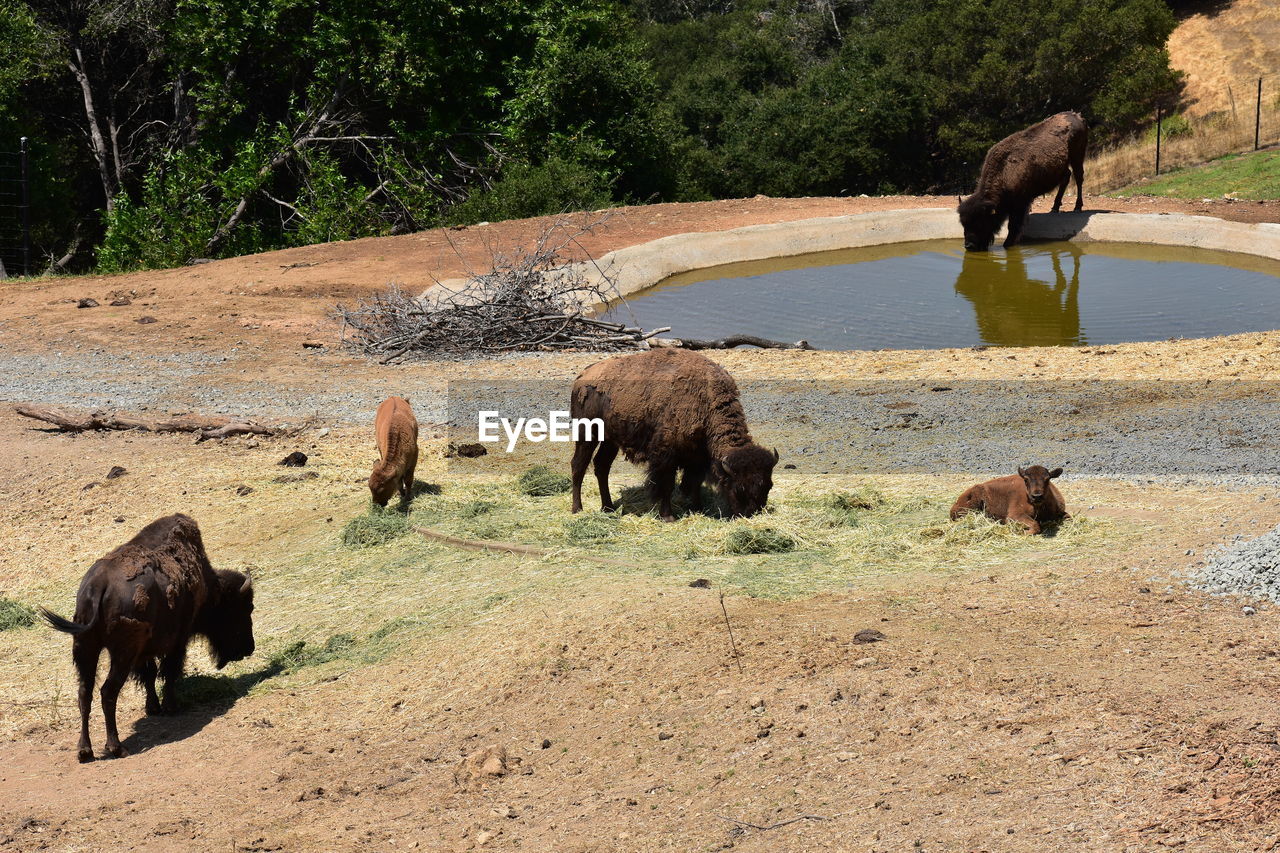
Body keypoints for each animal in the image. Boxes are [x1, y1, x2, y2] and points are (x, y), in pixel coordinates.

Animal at [40, 512, 256, 758]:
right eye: (244, 608)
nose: (249, 647)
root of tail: (98, 586)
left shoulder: (144, 652)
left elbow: (150, 674)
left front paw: (153, 707)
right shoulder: (178, 640)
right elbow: (169, 671)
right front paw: (171, 707)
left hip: (85, 649)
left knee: (85, 693)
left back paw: (85, 751)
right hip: (120, 654)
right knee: (108, 692)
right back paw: (116, 747)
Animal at [573, 345, 778, 517]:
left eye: (769, 485)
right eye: (739, 488)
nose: (750, 513)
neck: (706, 401)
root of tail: (582, 376)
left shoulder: (698, 457)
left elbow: (694, 483)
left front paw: (697, 508)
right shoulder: (666, 456)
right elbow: (667, 485)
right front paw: (668, 516)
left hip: (610, 440)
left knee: (601, 466)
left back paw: (608, 507)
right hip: (587, 435)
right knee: (579, 466)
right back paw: (577, 509)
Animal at [957, 110, 1085, 249]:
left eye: (980, 222)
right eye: (963, 224)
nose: (969, 246)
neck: (1004, 170)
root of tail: (1076, 115)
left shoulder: (1019, 204)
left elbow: (1013, 226)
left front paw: (1008, 244)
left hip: (1077, 157)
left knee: (1079, 178)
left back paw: (1077, 207)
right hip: (1062, 166)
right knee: (1066, 177)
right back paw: (1055, 208)